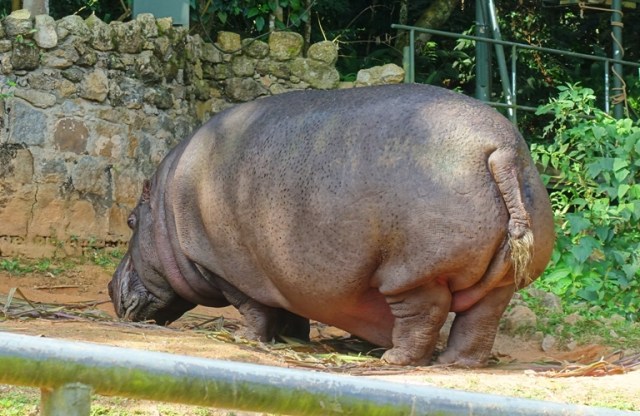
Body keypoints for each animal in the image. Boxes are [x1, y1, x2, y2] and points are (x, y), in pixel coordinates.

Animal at [109, 83, 554, 367]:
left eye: (130, 221)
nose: (110, 288)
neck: (165, 211)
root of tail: (502, 150)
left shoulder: (227, 268)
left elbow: (253, 309)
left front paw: (245, 340)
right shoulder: (280, 276)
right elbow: (287, 310)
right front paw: (292, 337)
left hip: (412, 272)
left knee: (424, 314)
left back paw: (395, 359)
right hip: (501, 279)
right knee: (480, 319)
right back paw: (457, 363)